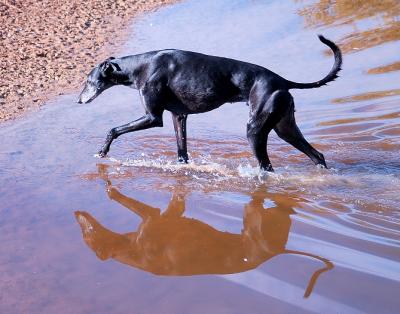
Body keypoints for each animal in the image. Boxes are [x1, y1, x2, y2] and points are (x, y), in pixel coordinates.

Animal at [79, 35, 344, 172]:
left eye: (87, 80)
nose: (79, 100)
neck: (142, 65)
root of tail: (282, 81)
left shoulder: (153, 118)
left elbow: (113, 129)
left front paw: (102, 151)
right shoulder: (179, 116)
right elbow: (182, 152)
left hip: (256, 130)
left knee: (267, 166)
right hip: (285, 127)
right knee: (317, 155)